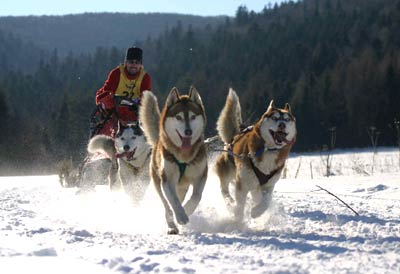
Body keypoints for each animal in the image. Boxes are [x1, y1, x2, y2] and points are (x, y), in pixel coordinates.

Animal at [139, 86, 208, 234]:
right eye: (178, 117)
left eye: (193, 116)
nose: (188, 132)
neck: (184, 157)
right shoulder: (167, 179)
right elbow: (173, 201)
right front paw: (181, 216)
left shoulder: (201, 175)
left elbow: (196, 196)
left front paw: (187, 210)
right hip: (158, 182)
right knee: (166, 205)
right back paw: (172, 224)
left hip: (182, 187)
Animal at [214, 89, 296, 222]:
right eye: (275, 118)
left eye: (287, 119)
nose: (282, 125)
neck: (268, 150)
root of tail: (235, 136)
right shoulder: (242, 183)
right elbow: (240, 205)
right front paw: (238, 220)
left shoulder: (269, 185)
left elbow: (266, 201)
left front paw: (256, 212)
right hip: (227, 171)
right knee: (224, 189)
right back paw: (230, 202)